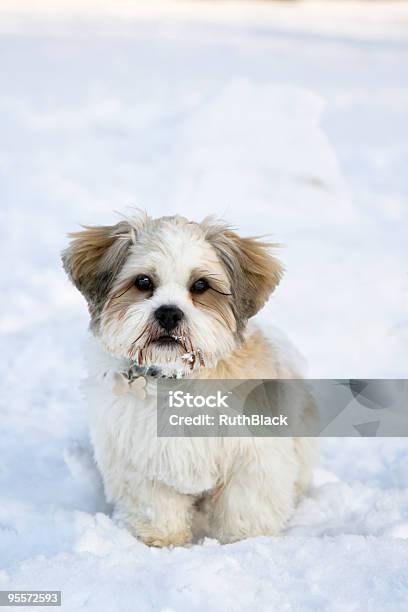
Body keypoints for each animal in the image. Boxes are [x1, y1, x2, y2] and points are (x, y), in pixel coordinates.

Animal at [62, 212, 318, 544]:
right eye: (143, 281)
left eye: (200, 285)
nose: (169, 313)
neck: (176, 377)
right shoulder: (139, 457)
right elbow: (155, 506)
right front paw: (161, 540)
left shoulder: (253, 456)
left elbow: (246, 505)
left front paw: (245, 541)